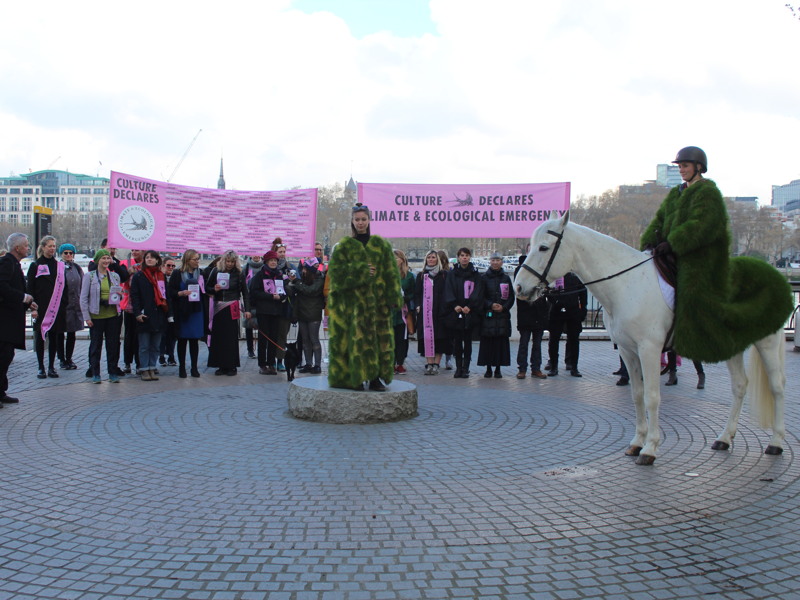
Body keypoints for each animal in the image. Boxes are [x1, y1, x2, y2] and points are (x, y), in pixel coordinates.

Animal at [516, 213, 784, 466]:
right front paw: (637, 441)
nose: (519, 287)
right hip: (730, 345)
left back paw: (776, 441)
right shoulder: (628, 351)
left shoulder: (650, 350)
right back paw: (725, 437)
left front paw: (650, 448)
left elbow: (652, 397)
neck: (627, 284)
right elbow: (637, 395)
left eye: (543, 247)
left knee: (777, 387)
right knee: (739, 385)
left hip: (768, 343)